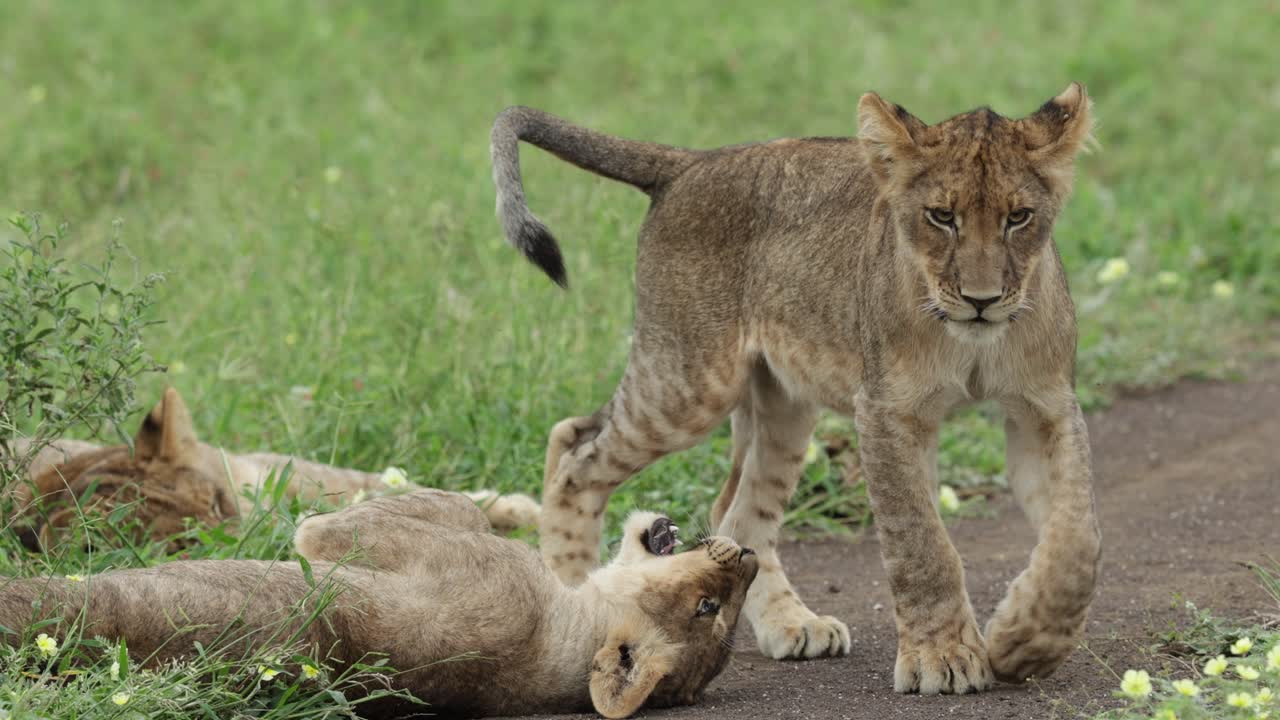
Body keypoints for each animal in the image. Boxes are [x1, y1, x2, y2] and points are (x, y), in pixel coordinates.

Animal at [5, 387, 540, 549]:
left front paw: (521, 511)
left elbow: (369, 486)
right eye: (186, 545)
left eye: (217, 502)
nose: (256, 538)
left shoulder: (274, 470)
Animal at [489, 82, 1101, 693]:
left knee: (736, 513)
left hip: (782, 402)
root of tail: (693, 163)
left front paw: (1026, 643)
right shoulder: (887, 410)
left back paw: (793, 624)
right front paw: (943, 657)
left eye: (1018, 217)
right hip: (689, 381)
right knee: (575, 450)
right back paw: (575, 600)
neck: (973, 341)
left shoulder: (1044, 406)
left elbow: (1076, 537)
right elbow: (922, 543)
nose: (981, 300)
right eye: (941, 216)